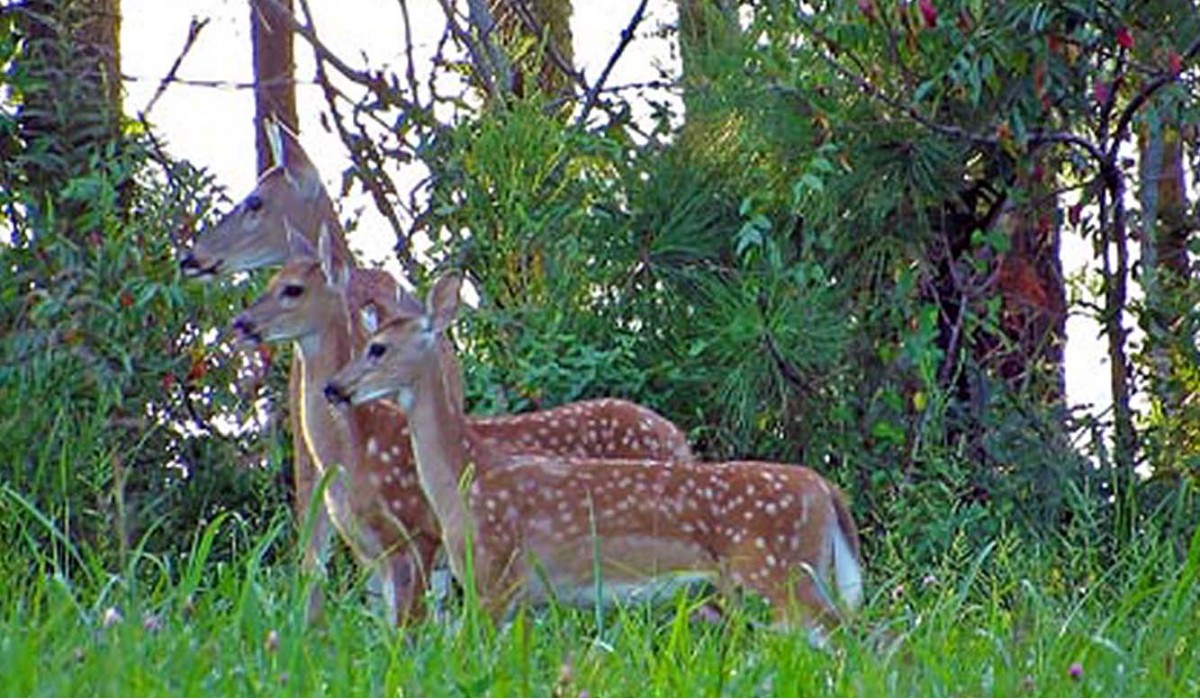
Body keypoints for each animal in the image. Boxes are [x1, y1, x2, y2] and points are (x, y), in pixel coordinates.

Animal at [324, 271, 868, 643]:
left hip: (779, 567)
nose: (333, 388)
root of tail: (825, 490)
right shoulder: (519, 595)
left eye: (377, 348)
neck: (466, 477)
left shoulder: (494, 575)